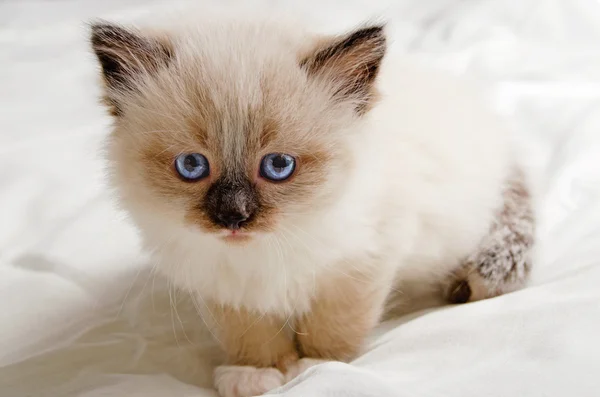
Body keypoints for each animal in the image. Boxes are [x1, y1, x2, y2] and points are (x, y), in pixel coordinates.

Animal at [90, 14, 536, 396]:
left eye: (278, 166)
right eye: (191, 166)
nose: (233, 217)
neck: (262, 253)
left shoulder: (359, 265)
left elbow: (331, 331)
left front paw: (315, 369)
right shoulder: (225, 284)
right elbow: (251, 335)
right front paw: (258, 375)